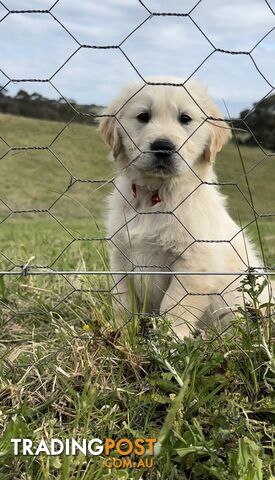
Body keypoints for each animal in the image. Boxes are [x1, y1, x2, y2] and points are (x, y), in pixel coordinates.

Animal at [99, 78, 272, 338]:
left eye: (185, 119)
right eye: (143, 116)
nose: (163, 146)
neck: (156, 195)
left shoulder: (195, 262)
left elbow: (175, 306)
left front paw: (169, 339)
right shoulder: (121, 256)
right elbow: (123, 301)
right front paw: (121, 332)